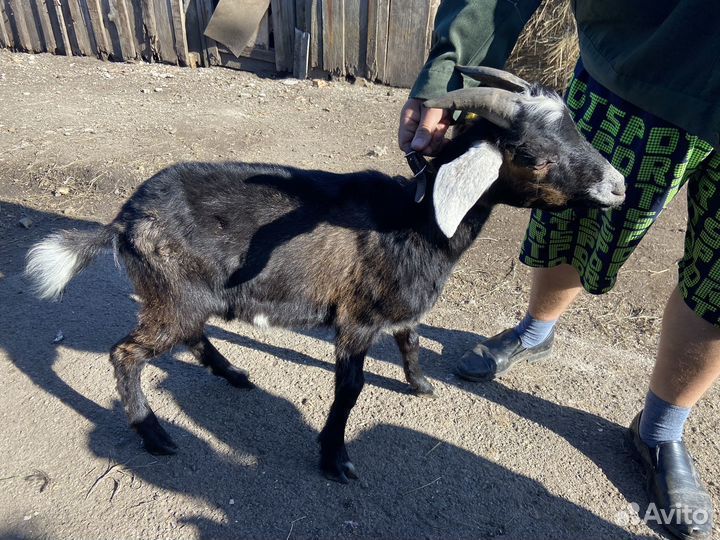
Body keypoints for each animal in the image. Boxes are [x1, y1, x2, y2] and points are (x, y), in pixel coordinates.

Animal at [26, 67, 625, 483]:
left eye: (574, 129)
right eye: (532, 154)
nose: (618, 187)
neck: (416, 218)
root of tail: (124, 216)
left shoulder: (397, 307)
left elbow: (410, 341)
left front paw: (420, 384)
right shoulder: (357, 319)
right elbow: (351, 387)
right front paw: (335, 458)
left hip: (189, 296)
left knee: (192, 335)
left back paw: (233, 374)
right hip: (171, 294)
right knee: (127, 353)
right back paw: (154, 434)